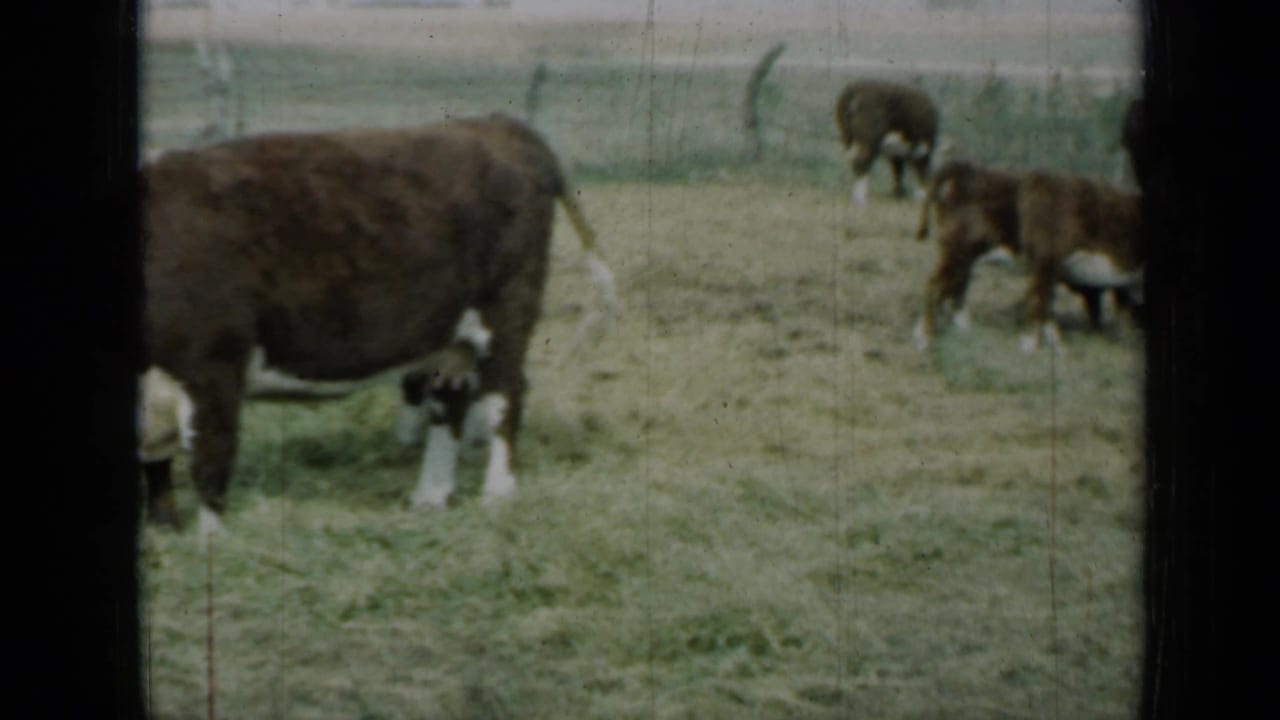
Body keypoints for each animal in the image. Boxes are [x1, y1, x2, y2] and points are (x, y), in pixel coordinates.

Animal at [140, 113, 618, 537]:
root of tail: (494, 124)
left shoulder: (213, 366)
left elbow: (210, 461)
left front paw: (211, 543)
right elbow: (155, 469)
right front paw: (163, 532)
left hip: (505, 313)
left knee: (505, 397)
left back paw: (498, 494)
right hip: (450, 339)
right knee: (449, 403)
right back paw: (431, 497)